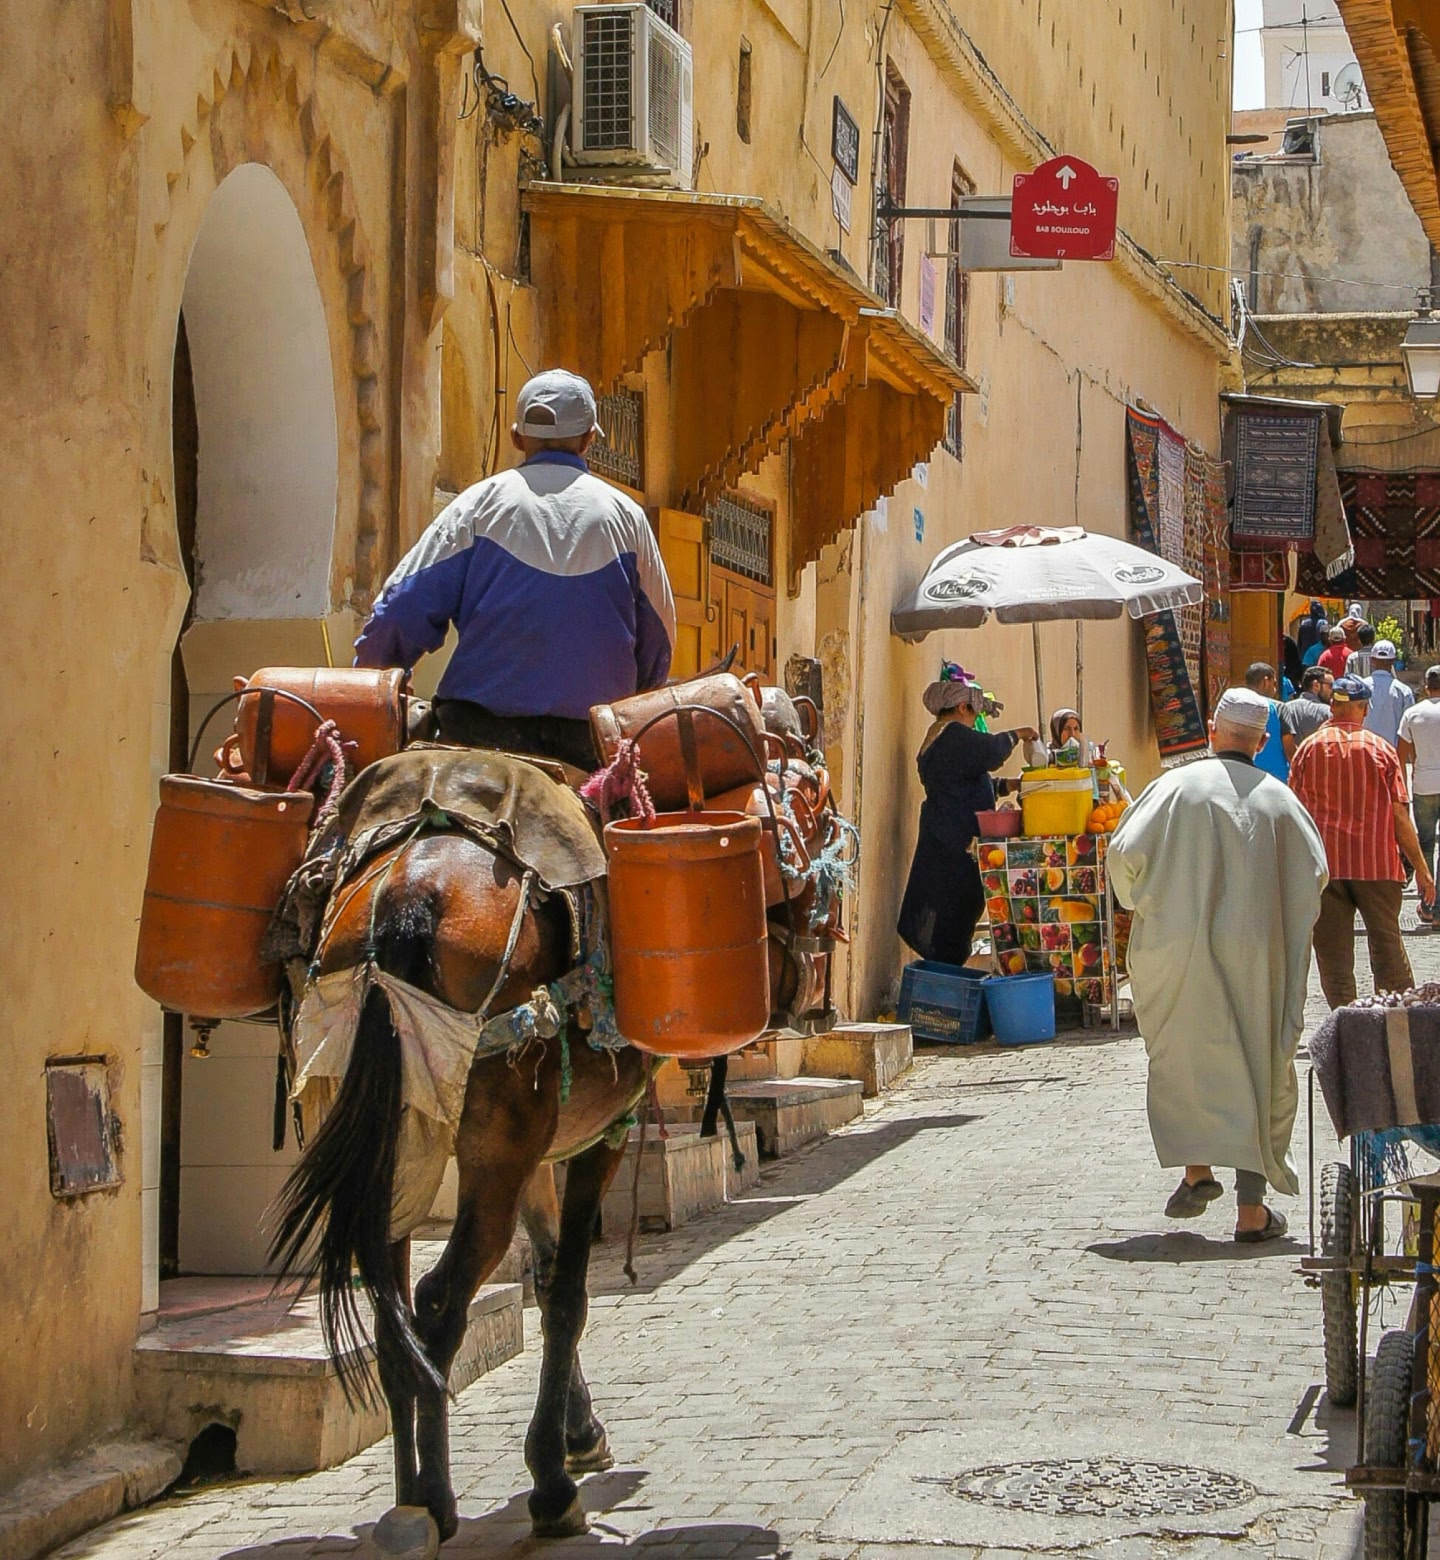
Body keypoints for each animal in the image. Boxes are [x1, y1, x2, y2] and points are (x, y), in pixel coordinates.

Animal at [269, 829, 650, 1547]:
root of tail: (409, 891)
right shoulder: (598, 1135)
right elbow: (567, 1296)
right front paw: (552, 1478)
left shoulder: (535, 1158)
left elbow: (546, 1274)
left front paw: (579, 1433)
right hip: (493, 1141)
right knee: (438, 1300)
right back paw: (443, 1500)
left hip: (390, 1143)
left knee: (392, 1313)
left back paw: (412, 1502)